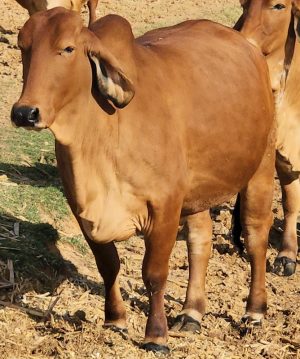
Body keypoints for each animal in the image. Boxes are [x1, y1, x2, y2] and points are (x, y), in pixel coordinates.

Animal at [11, 8, 274, 354]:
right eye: (23, 46)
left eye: (68, 48)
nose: (24, 113)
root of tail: (249, 46)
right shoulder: (82, 209)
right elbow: (108, 265)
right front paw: (114, 319)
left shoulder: (164, 207)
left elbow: (154, 274)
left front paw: (156, 335)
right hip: (197, 193)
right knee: (200, 242)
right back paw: (191, 313)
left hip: (261, 168)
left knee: (256, 237)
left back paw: (254, 312)